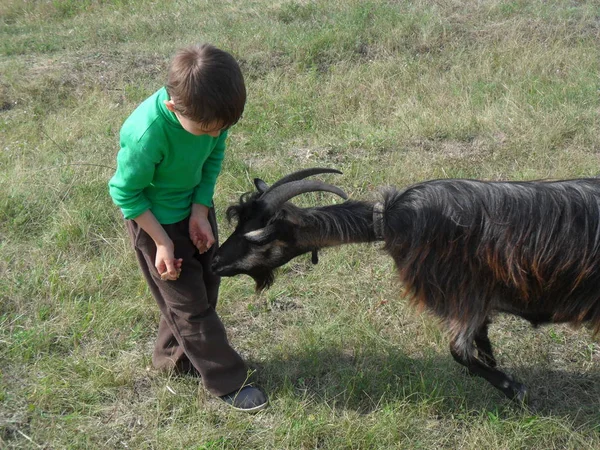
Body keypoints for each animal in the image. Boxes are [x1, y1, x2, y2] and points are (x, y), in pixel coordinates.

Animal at [212, 169, 600, 400]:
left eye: (259, 237)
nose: (215, 262)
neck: (389, 221)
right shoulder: (476, 299)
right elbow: (482, 343)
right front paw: (502, 376)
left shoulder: (463, 291)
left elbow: (459, 351)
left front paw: (514, 388)